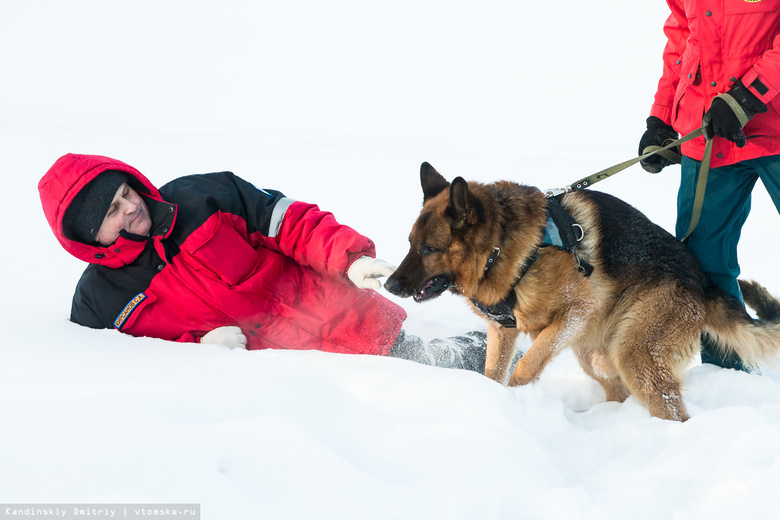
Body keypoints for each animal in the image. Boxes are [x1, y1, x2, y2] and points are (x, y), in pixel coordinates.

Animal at [384, 164, 780, 422]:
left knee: (671, 408)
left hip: (634, 354)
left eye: (429, 249)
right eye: (410, 243)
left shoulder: (577, 311)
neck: (501, 247)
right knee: (619, 389)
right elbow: (493, 371)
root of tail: (702, 282)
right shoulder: (502, 329)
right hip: (596, 354)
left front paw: (517, 399)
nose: (388, 285)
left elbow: (526, 365)